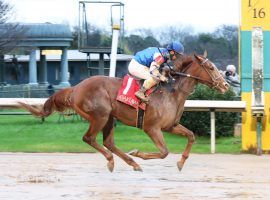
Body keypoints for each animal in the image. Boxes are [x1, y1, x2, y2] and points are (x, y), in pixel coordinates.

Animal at [20, 52, 229, 172]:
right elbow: (164, 152)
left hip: (109, 118)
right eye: (211, 67)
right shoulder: (152, 128)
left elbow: (191, 136)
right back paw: (115, 161)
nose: (226, 85)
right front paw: (139, 153)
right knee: (90, 139)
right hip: (100, 115)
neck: (171, 92)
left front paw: (181, 163)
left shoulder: (171, 126)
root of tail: (76, 88)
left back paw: (131, 163)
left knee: (108, 142)